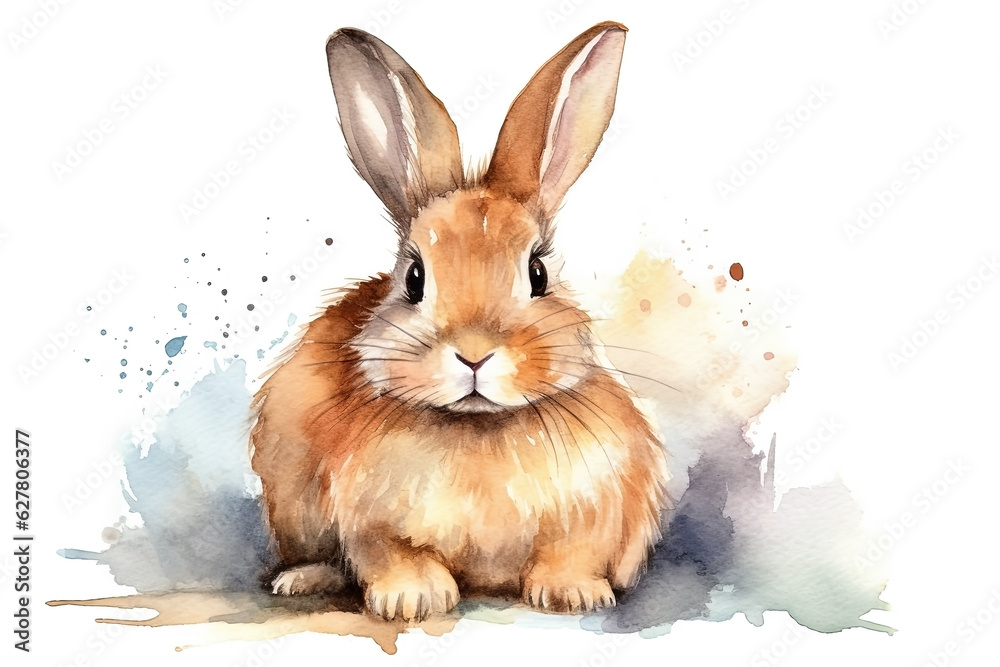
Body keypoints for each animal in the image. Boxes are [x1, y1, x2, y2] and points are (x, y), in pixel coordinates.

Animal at [250, 21, 670, 622]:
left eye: (538, 273)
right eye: (413, 278)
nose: (474, 354)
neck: (478, 429)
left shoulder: (598, 510)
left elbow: (573, 552)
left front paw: (573, 595)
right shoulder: (367, 521)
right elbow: (388, 554)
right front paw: (412, 600)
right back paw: (302, 579)